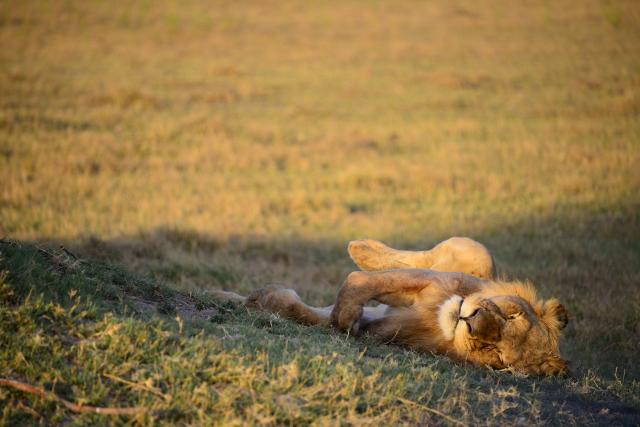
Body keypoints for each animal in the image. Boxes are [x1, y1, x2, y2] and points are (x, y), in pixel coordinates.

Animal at [214, 237, 569, 376]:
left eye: (496, 354)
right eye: (511, 314)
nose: (469, 321)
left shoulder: (383, 330)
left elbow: (306, 312)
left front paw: (343, 320)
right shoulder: (431, 282)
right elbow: (361, 282)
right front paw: (347, 310)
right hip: (476, 261)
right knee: (448, 251)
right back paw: (362, 249)